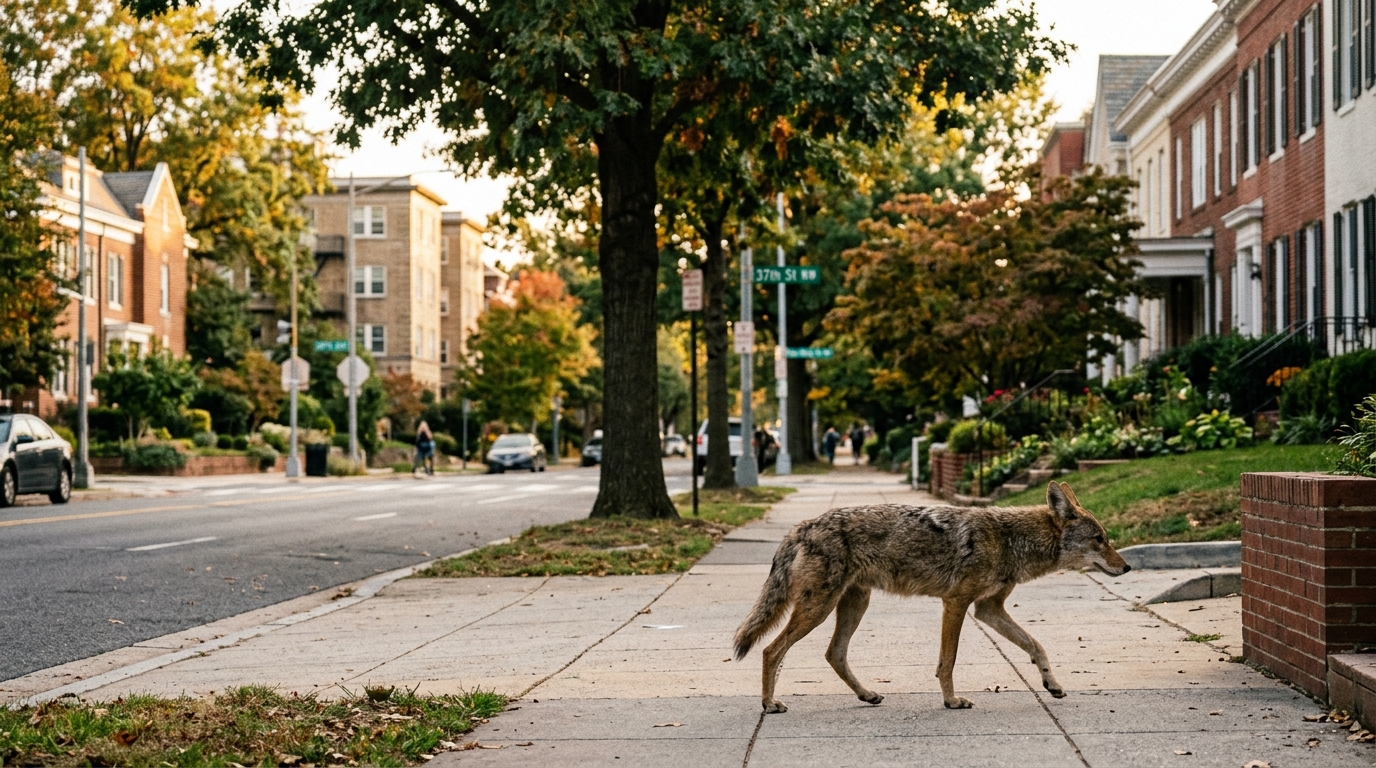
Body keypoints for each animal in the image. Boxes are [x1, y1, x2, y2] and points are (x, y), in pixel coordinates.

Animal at [733, 481, 1131, 713]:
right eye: (1100, 539)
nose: (1127, 567)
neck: (1009, 539)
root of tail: (801, 527)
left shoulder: (988, 609)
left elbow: (1036, 645)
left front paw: (1053, 685)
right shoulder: (957, 604)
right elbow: (948, 661)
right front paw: (952, 701)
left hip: (854, 605)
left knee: (834, 653)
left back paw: (868, 696)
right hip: (818, 608)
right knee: (771, 650)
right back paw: (769, 704)